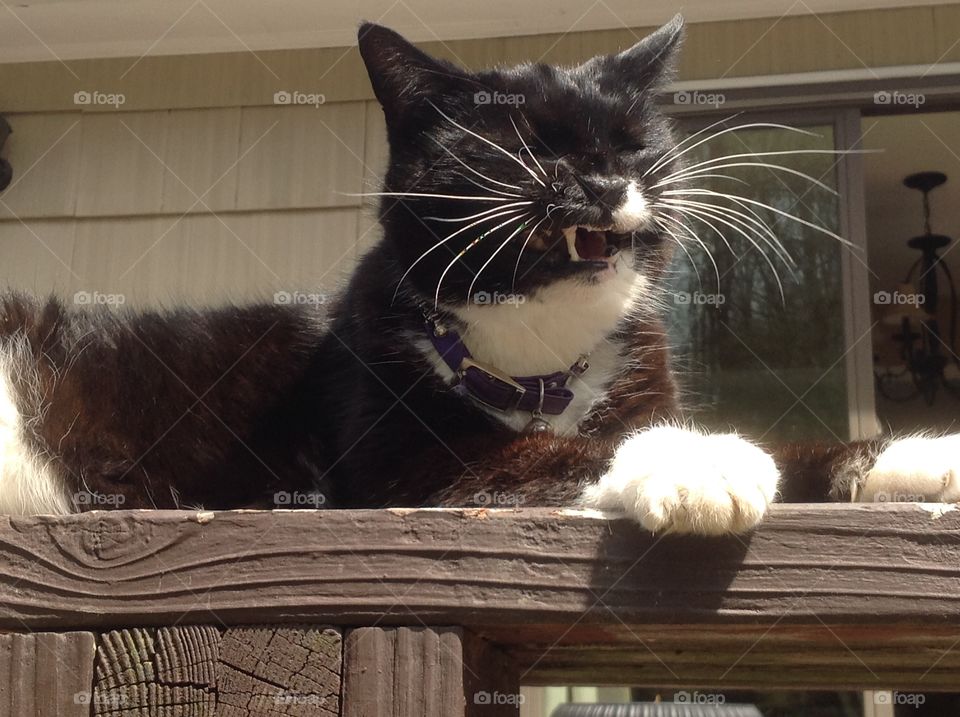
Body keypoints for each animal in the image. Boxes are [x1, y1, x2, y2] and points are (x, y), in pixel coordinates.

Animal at [1, 16, 960, 532]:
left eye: (631, 142)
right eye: (530, 145)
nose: (601, 178)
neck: (538, 359)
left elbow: (801, 448)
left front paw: (925, 453)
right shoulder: (400, 465)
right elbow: (555, 448)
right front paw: (701, 459)